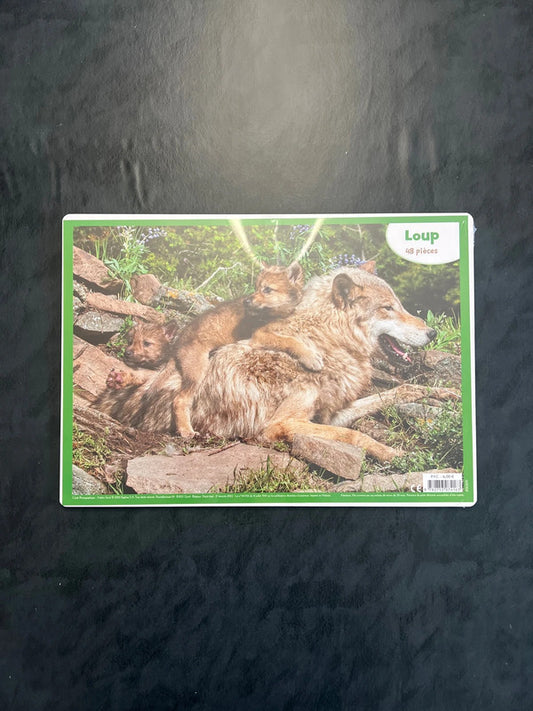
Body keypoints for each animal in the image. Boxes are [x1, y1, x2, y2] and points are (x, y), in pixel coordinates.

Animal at [97, 266, 435, 462]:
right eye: (388, 308)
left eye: (400, 305)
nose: (432, 332)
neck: (326, 341)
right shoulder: (279, 425)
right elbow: (357, 436)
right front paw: (393, 453)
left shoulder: (331, 414)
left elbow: (391, 394)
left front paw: (436, 393)